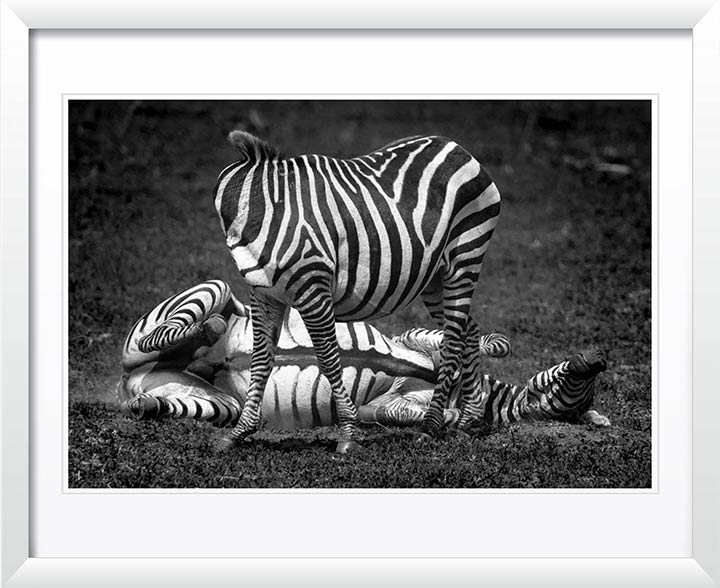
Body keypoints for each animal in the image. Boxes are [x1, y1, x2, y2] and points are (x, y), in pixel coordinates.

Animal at [119, 280, 610, 432]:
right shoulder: (414, 336)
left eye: (579, 387)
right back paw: (208, 330)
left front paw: (457, 417)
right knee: (168, 332)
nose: (599, 357)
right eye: (569, 376)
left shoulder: (386, 408)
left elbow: (416, 413)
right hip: (211, 294)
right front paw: (491, 346)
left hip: (216, 403)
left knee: (162, 398)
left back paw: (151, 398)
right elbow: (468, 342)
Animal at [213, 132, 502, 451]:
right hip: (435, 279)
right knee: (468, 330)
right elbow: (261, 361)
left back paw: (430, 426)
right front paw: (239, 432)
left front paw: (348, 433)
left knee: (452, 340)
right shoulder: (265, 294)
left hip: (464, 258)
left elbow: (328, 359)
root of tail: (454, 146)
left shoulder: (314, 288)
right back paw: (468, 420)